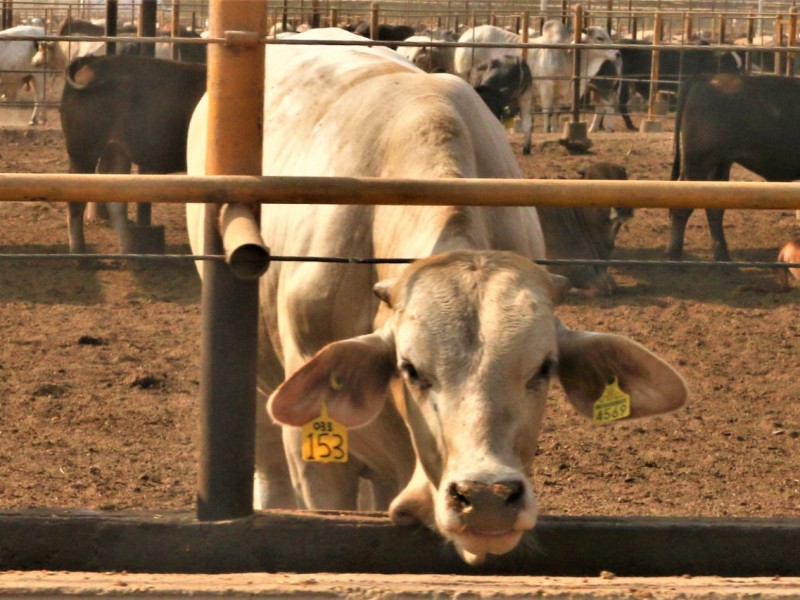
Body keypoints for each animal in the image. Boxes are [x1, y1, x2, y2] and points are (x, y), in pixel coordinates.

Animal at [61, 52, 208, 255]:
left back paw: (128, 251)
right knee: (75, 200)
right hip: (84, 152)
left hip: (115, 152)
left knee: (115, 200)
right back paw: (79, 253)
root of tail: (91, 60)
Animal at [668, 72, 800, 260]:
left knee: (713, 208)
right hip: (697, 163)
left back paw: (722, 256)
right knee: (681, 206)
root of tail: (705, 78)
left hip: (719, 164)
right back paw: (673, 255)